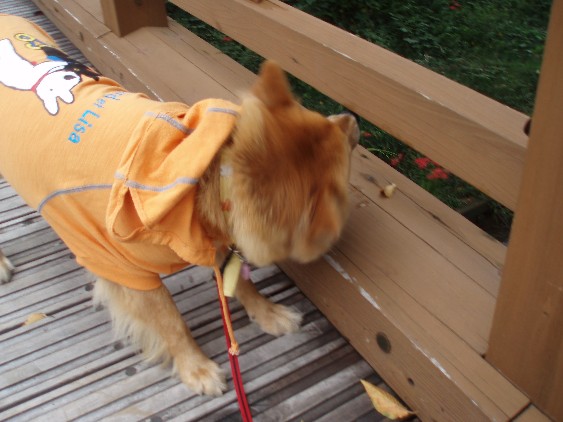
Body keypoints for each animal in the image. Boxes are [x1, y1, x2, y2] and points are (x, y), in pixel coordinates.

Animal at [0, 15, 359, 396]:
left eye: (319, 115)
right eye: (343, 147)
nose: (353, 118)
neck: (204, 181)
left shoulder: (216, 241)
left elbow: (241, 283)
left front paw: (267, 313)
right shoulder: (123, 271)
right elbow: (170, 321)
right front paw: (195, 367)